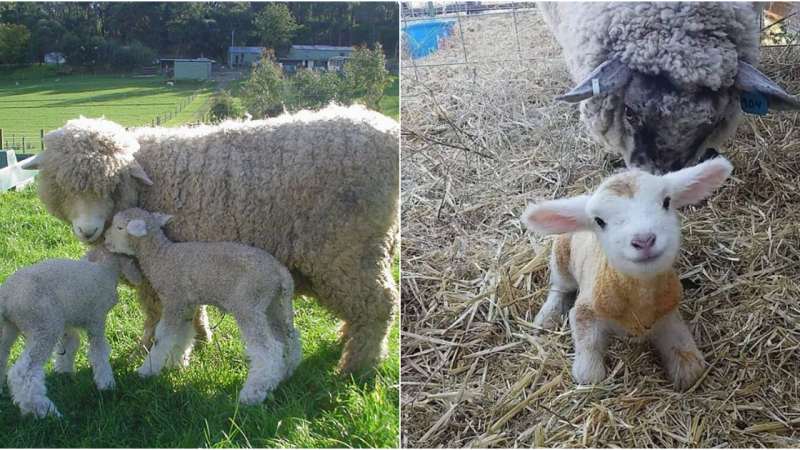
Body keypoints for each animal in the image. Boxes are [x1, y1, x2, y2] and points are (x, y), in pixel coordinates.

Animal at [0, 246, 141, 418]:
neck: (104, 267)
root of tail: (6, 298)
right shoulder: (97, 317)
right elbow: (99, 352)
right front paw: (106, 384)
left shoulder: (68, 319)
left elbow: (69, 344)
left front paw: (63, 371)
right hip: (44, 325)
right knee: (23, 372)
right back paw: (43, 410)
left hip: (10, 327)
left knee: (2, 355)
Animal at [20, 103, 400, 374]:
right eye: (61, 186)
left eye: (111, 185)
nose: (88, 230)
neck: (146, 182)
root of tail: (388, 131)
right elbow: (192, 309)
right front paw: (200, 338)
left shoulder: (157, 272)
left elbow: (156, 315)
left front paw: (146, 350)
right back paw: (347, 341)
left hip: (346, 248)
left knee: (378, 304)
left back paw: (357, 367)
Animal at [104, 207, 304, 404]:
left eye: (119, 227)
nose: (105, 240)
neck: (161, 257)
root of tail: (281, 272)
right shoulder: (186, 305)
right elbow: (183, 334)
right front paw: (175, 364)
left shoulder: (173, 299)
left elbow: (163, 336)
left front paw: (147, 370)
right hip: (270, 303)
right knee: (289, 339)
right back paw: (284, 374)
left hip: (248, 303)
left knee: (269, 348)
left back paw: (252, 393)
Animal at [520, 157, 736, 390]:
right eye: (599, 221)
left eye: (666, 202)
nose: (644, 240)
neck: (640, 299)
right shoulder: (586, 310)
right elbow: (589, 373)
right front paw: (588, 370)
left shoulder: (668, 312)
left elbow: (690, 365)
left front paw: (685, 368)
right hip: (561, 256)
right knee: (560, 287)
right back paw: (547, 317)